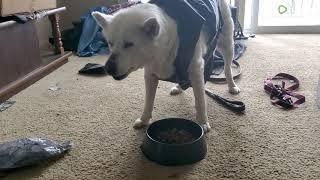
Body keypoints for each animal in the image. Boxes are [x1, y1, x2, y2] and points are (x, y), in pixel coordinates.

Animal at [92, 0, 240, 132]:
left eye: (129, 44)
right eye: (110, 43)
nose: (108, 68)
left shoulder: (196, 70)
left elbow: (200, 100)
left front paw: (202, 122)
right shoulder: (150, 75)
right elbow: (148, 101)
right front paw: (144, 119)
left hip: (227, 44)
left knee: (227, 68)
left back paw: (232, 86)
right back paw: (179, 87)